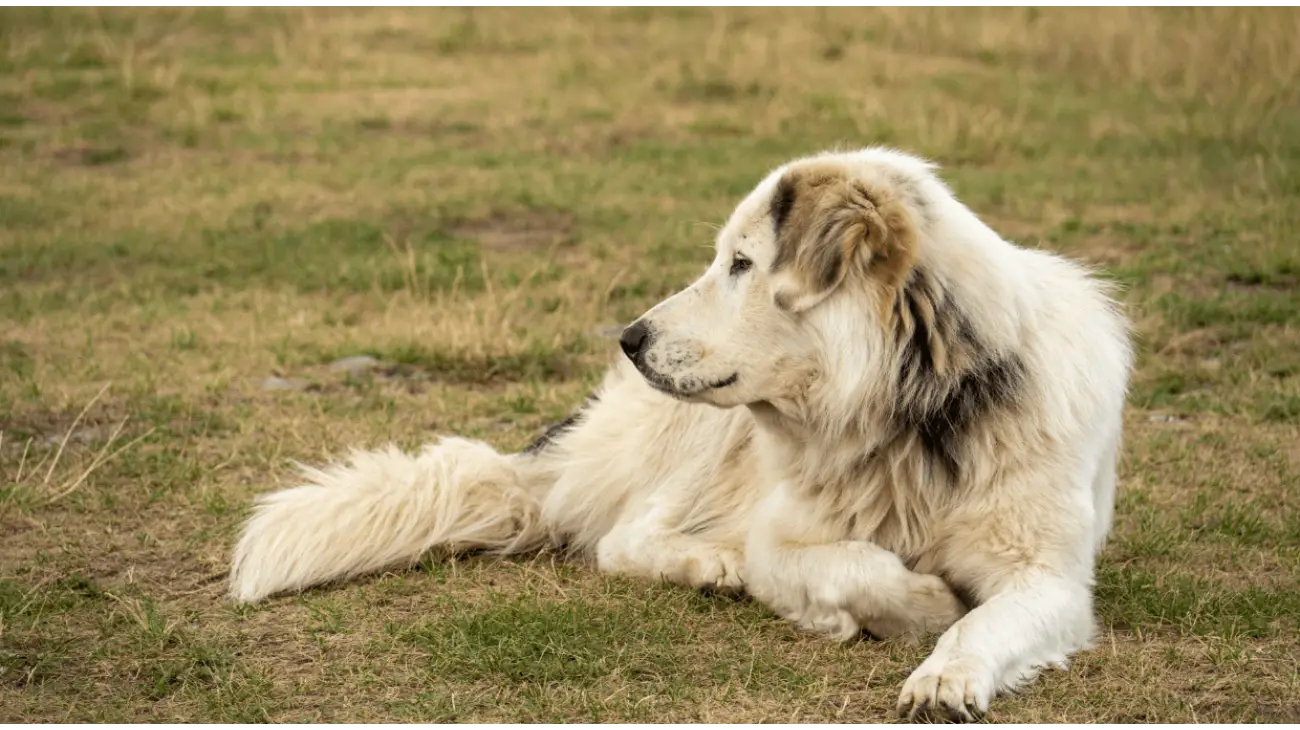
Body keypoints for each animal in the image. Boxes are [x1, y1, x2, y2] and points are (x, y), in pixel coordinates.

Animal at [228, 144, 1133, 717]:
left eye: (741, 264)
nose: (629, 338)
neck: (909, 416)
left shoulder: (1050, 578)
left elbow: (987, 621)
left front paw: (947, 674)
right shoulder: (785, 534)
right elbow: (858, 567)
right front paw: (915, 603)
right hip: (702, 436)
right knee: (622, 539)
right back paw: (711, 564)